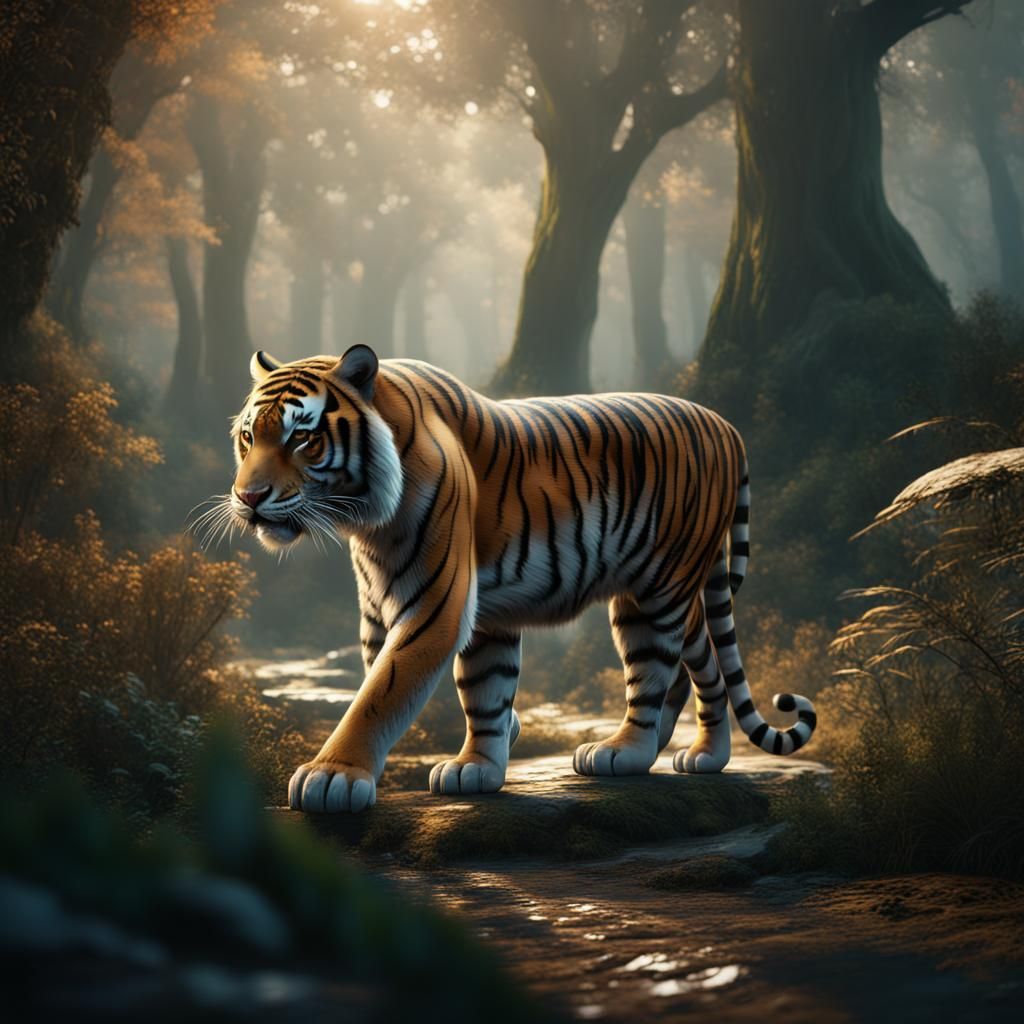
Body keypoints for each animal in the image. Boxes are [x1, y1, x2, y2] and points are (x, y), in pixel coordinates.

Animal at [221, 344, 816, 814]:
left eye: (302, 439)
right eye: (249, 437)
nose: (248, 497)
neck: (365, 522)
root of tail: (726, 426)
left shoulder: (435, 604)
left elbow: (381, 693)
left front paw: (333, 776)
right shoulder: (414, 612)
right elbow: (483, 688)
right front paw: (481, 764)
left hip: (656, 592)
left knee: (657, 672)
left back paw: (631, 751)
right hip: (671, 585)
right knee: (698, 662)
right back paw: (690, 753)